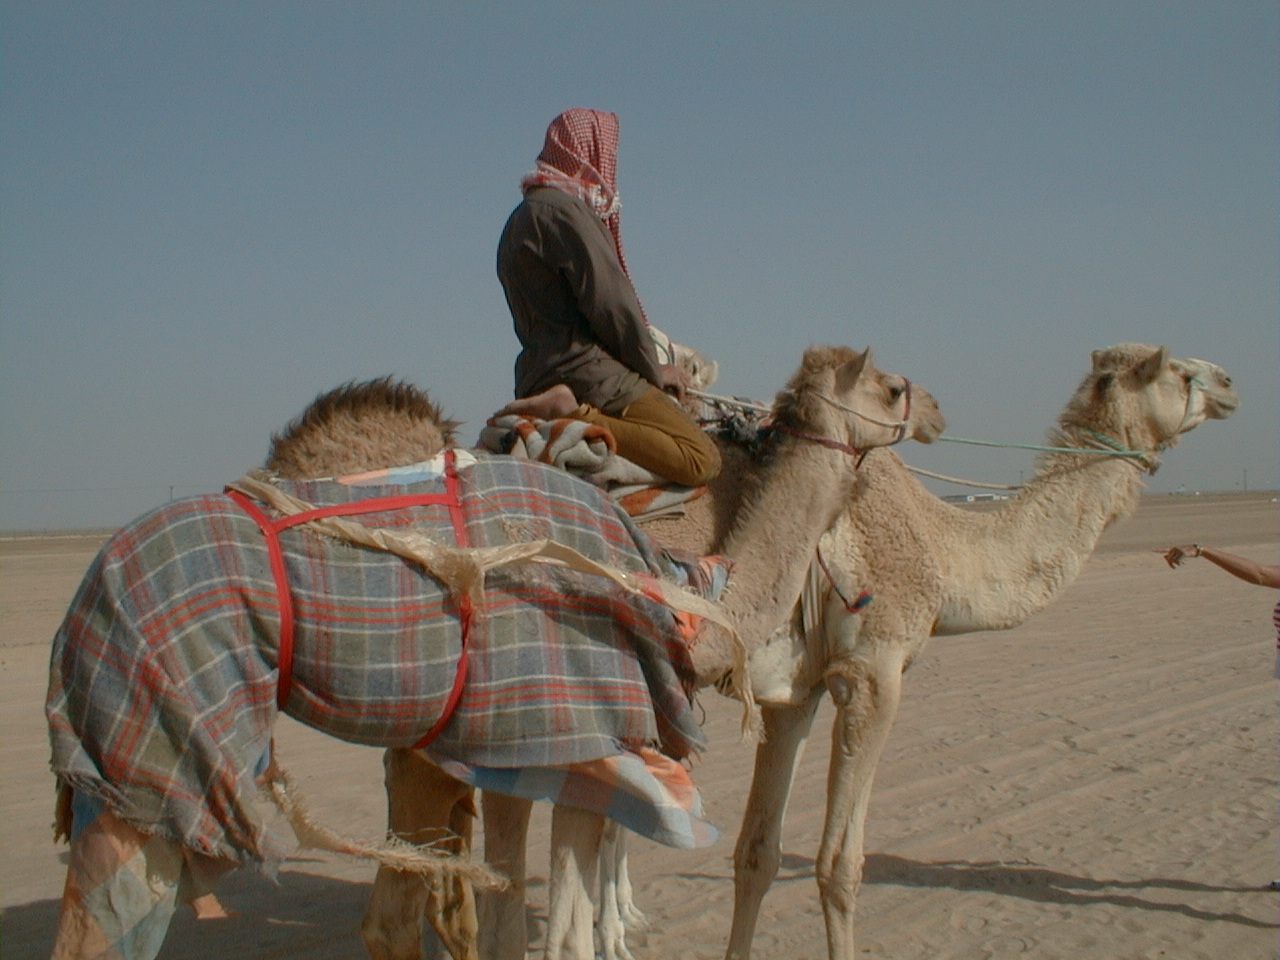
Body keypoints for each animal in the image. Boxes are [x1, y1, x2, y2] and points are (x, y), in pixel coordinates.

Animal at [721, 345, 1239, 959]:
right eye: (1179, 372)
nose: (1230, 383)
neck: (940, 546)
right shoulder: (871, 672)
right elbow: (838, 867)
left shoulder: (795, 690)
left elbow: (757, 855)